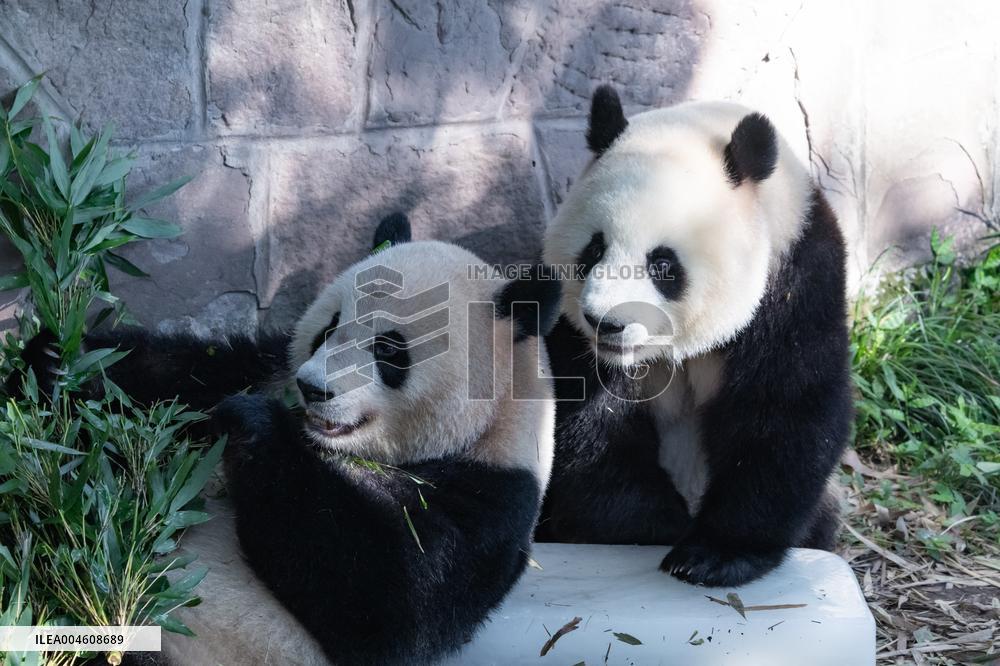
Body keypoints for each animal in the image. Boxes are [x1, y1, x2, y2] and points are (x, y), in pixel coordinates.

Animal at [18, 214, 560, 665]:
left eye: (389, 349)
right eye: (329, 328)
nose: (312, 388)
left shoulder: (492, 499)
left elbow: (393, 596)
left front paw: (253, 423)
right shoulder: (261, 367)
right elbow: (172, 376)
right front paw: (57, 362)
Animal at [535, 85, 852, 588]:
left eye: (663, 264)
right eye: (594, 249)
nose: (606, 323)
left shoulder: (798, 281)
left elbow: (785, 409)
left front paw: (712, 555)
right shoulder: (568, 327)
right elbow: (585, 420)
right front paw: (654, 527)